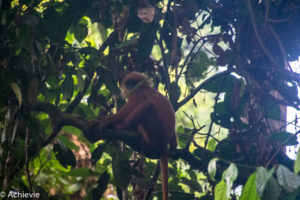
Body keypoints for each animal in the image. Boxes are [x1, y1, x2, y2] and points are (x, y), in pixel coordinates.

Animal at [88, 71, 176, 199]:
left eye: (132, 83)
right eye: (128, 83)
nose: (129, 87)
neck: (144, 88)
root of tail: (164, 143)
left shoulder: (138, 94)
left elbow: (130, 107)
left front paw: (106, 121)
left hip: (155, 133)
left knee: (146, 106)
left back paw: (119, 128)